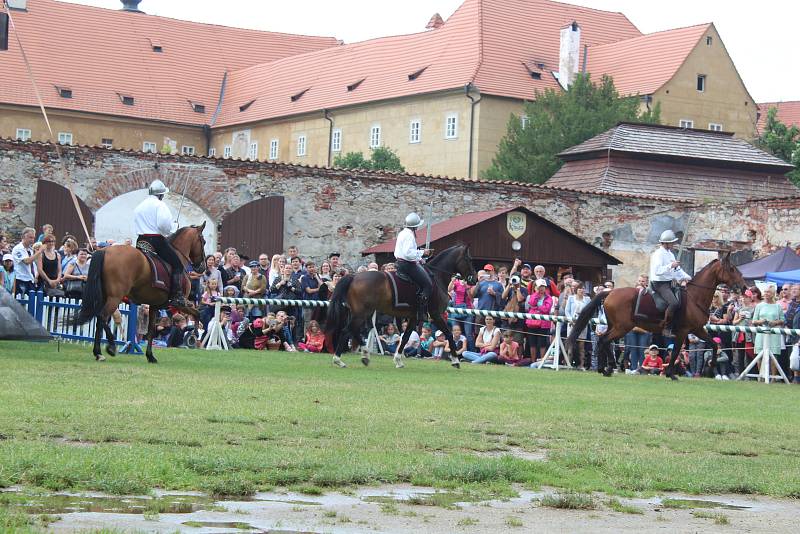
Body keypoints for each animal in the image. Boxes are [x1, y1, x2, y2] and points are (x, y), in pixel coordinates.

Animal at [70, 224, 206, 366]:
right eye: (203, 241)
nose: (202, 267)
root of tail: (105, 251)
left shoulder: (154, 306)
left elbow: (150, 331)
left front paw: (150, 356)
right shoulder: (181, 304)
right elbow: (197, 313)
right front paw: (194, 334)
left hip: (105, 297)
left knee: (100, 319)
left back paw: (98, 352)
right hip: (115, 298)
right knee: (102, 316)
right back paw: (110, 347)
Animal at [324, 246, 476, 368]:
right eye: (468, 259)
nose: (474, 279)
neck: (436, 277)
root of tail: (353, 277)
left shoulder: (413, 317)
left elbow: (406, 336)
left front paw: (398, 360)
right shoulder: (435, 314)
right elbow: (449, 334)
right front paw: (455, 360)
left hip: (362, 313)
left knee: (354, 331)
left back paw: (365, 355)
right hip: (361, 314)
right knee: (346, 330)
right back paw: (339, 360)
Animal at [564, 255, 748, 382]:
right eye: (732, 269)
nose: (744, 287)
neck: (694, 298)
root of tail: (610, 292)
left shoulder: (697, 329)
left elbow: (714, 345)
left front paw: (710, 367)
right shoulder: (683, 331)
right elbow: (675, 352)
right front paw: (671, 374)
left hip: (614, 326)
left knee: (604, 341)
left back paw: (604, 368)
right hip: (622, 327)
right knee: (604, 341)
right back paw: (607, 369)